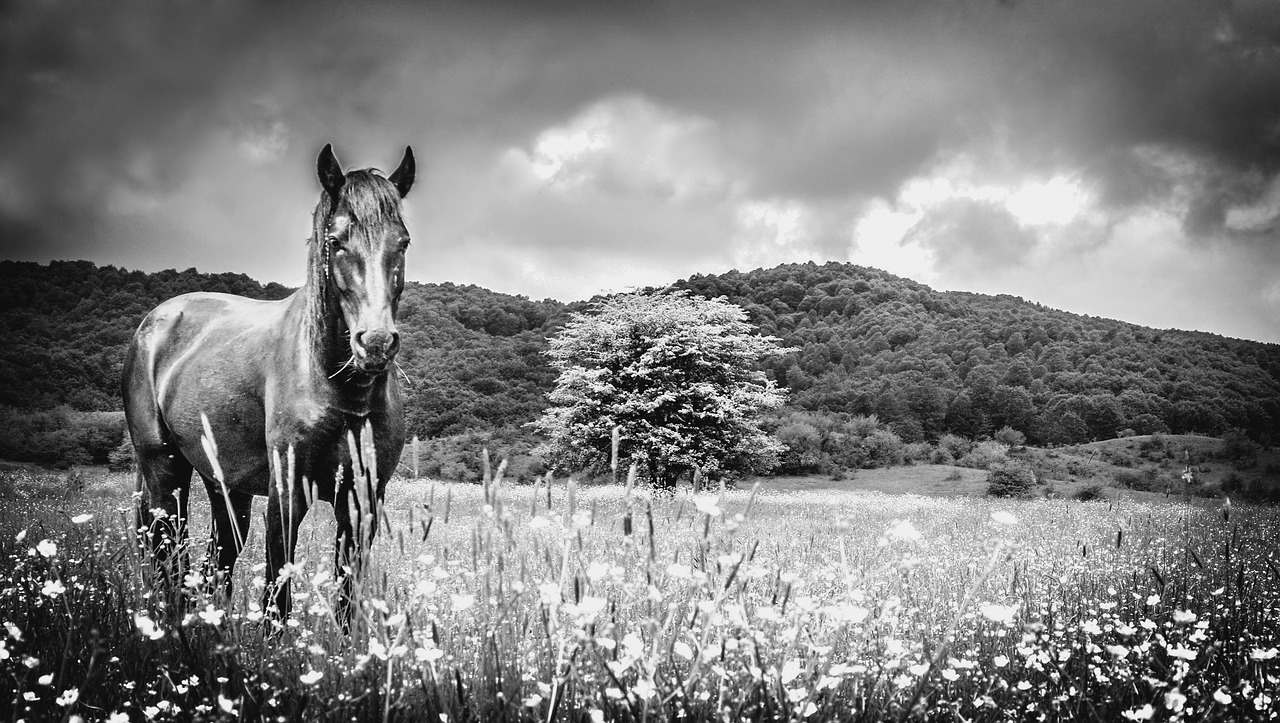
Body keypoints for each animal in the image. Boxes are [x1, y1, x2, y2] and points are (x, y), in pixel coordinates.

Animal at [123, 142, 414, 619]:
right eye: (335, 241)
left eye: (402, 242)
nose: (375, 343)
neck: (340, 392)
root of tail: (156, 321)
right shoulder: (286, 494)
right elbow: (277, 597)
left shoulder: (362, 502)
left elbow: (346, 603)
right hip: (165, 472)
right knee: (169, 558)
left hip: (226, 488)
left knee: (214, 564)